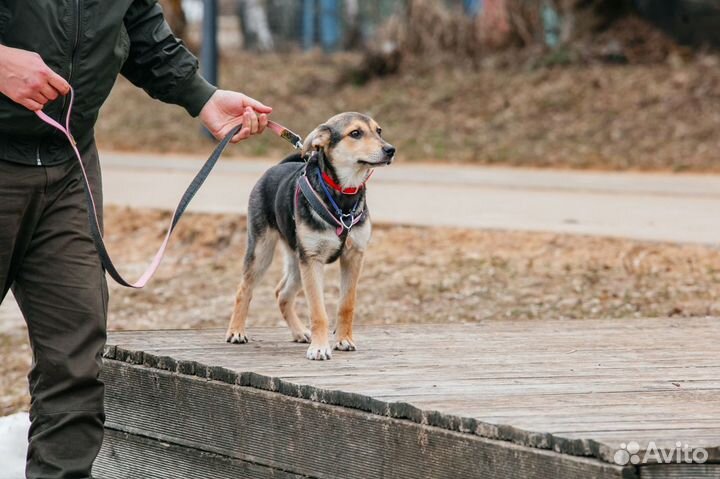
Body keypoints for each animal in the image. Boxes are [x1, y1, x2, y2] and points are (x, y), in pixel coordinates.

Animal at [224, 112, 394, 360]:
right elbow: (318, 311)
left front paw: (344, 340)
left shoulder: (354, 256)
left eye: (378, 131)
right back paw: (236, 331)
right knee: (244, 289)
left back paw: (299, 332)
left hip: (297, 259)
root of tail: (276, 167)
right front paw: (319, 347)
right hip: (262, 250)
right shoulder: (312, 260)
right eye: (355, 133)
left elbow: (346, 305)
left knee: (282, 293)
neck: (343, 195)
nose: (391, 150)